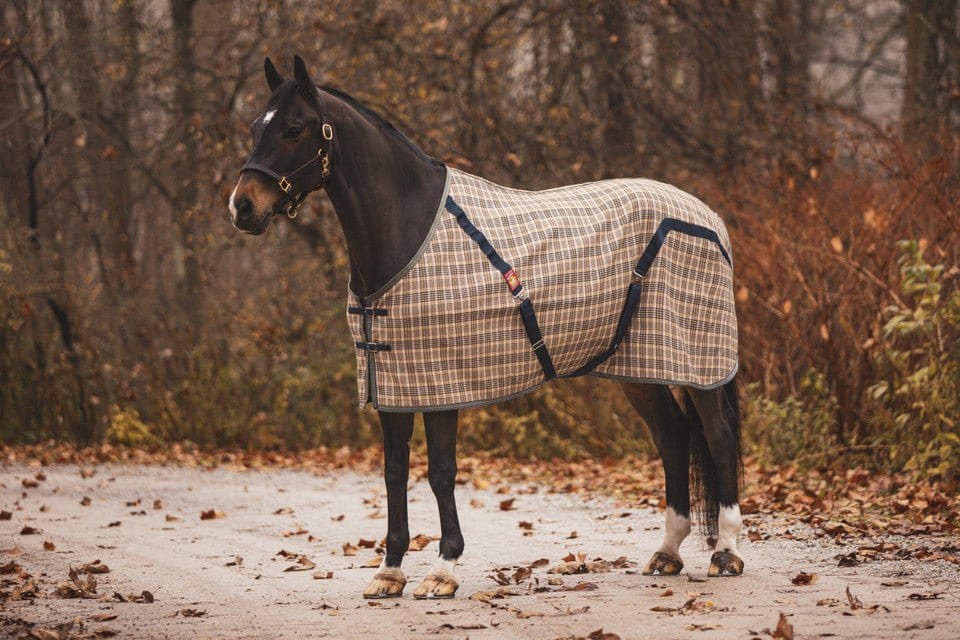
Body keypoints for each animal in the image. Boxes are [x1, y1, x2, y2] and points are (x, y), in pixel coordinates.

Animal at [229, 56, 744, 599]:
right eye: (253, 127)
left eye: (294, 128)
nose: (242, 207)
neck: (409, 230)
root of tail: (709, 217)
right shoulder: (392, 383)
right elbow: (393, 473)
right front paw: (389, 572)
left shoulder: (441, 385)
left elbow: (440, 472)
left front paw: (443, 570)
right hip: (639, 368)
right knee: (673, 436)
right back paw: (666, 553)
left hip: (700, 361)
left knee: (717, 435)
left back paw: (727, 552)